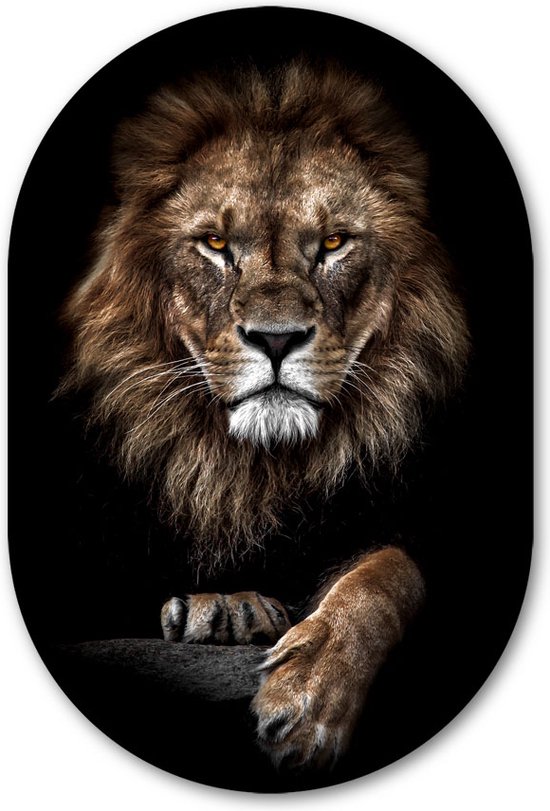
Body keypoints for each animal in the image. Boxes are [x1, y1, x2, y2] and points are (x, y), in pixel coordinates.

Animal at [59, 60, 469, 770]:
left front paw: (309, 696)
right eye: (216, 244)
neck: (259, 469)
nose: (276, 339)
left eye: (332, 242)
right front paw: (228, 606)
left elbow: (386, 573)